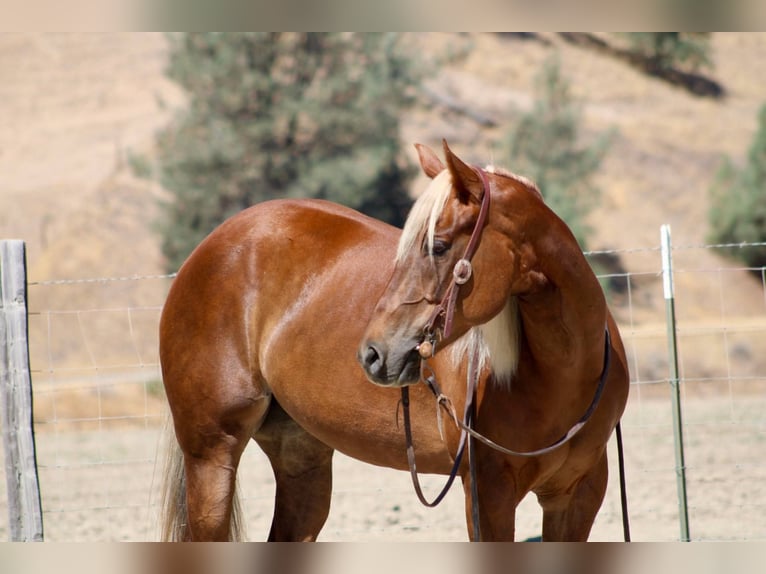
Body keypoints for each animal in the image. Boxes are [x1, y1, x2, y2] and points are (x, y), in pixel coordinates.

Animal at [158, 140, 629, 542]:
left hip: (301, 459)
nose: (373, 354)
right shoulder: (489, 493)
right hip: (212, 455)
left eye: (439, 246)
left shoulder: (580, 493)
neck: (559, 378)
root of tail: (210, 246)